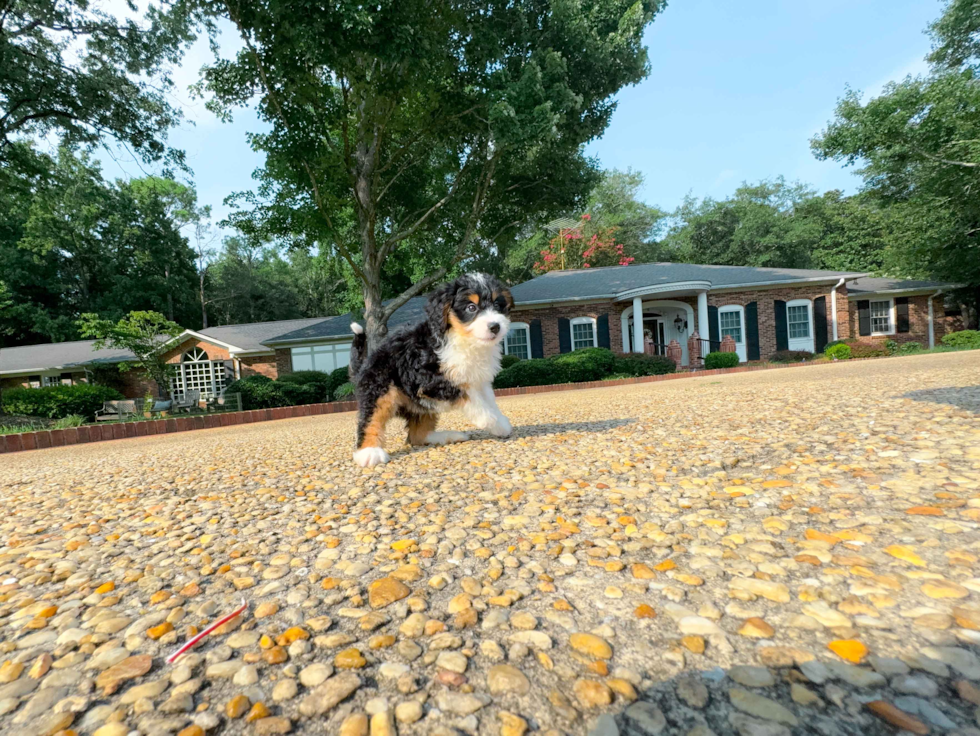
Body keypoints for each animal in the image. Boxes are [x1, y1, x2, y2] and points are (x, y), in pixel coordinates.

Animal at [346, 270, 512, 466]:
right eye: (471, 307)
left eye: (497, 305)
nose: (495, 327)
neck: (460, 337)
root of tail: (364, 365)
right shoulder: (434, 381)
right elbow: (477, 403)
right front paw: (495, 424)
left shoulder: (478, 380)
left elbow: (489, 401)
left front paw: (501, 422)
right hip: (380, 388)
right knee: (371, 419)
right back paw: (369, 451)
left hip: (421, 404)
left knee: (417, 436)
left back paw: (447, 436)